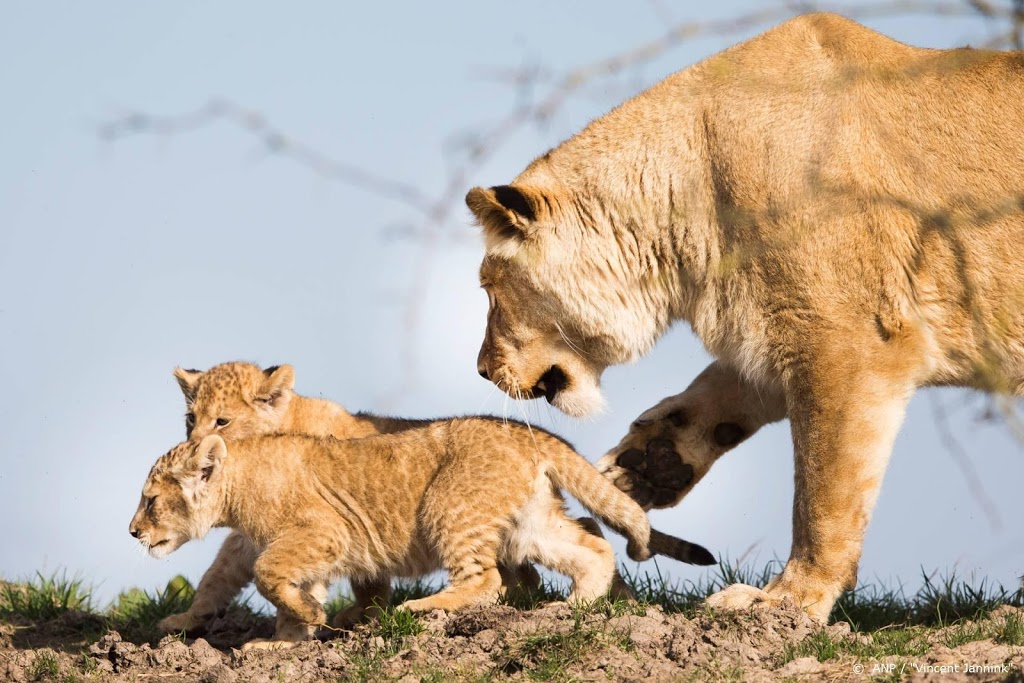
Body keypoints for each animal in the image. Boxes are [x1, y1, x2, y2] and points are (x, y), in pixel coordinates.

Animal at [466, 14, 1024, 626]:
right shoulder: (776, 328)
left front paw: (786, 601)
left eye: (489, 290)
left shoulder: (851, 345)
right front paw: (646, 466)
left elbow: (822, 493)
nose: (482, 370)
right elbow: (714, 392)